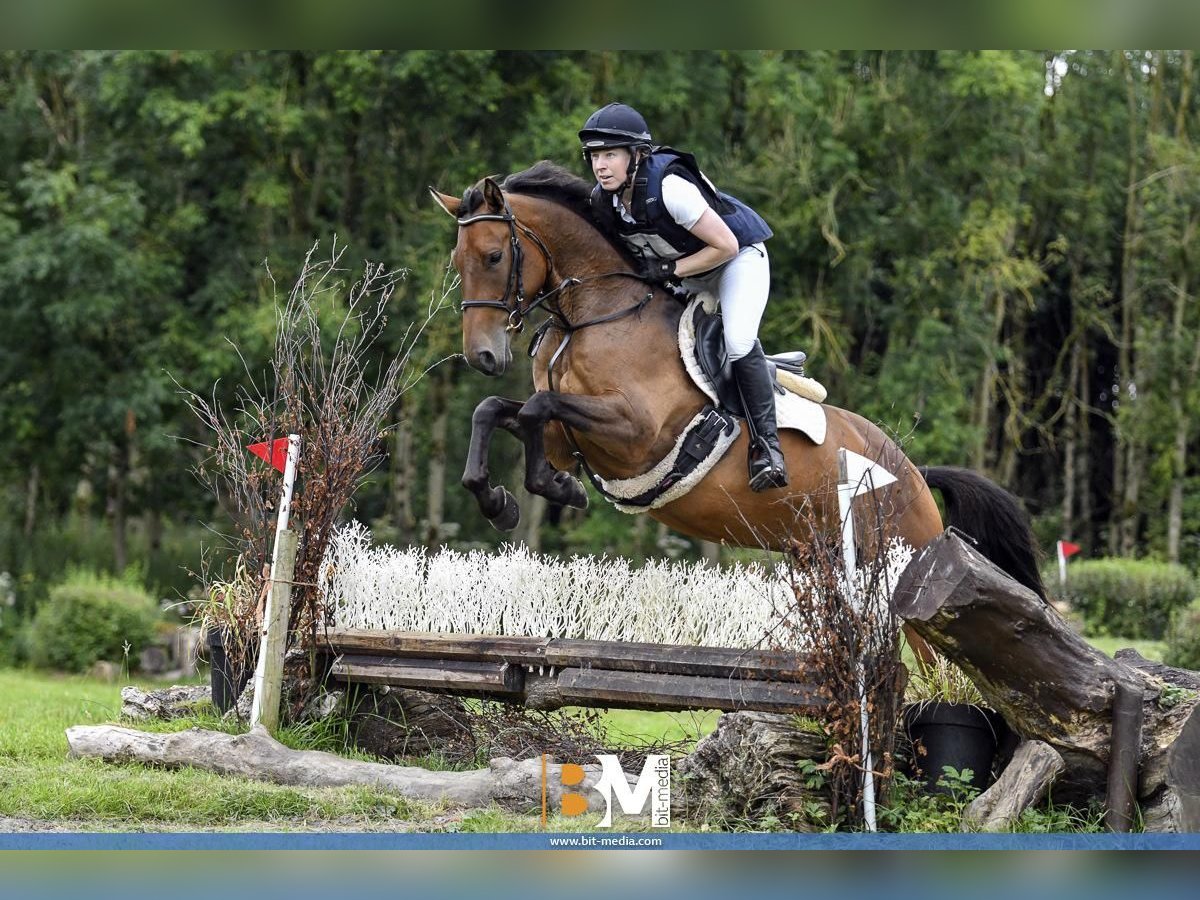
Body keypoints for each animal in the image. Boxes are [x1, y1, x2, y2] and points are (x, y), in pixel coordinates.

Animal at [429, 162, 1041, 628]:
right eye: (457, 263)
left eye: (493, 257)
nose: (484, 357)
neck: (594, 314)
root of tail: (912, 472)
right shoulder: (567, 433)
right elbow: (498, 411)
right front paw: (505, 500)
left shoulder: (637, 433)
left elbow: (537, 407)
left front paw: (552, 487)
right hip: (818, 561)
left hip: (899, 568)